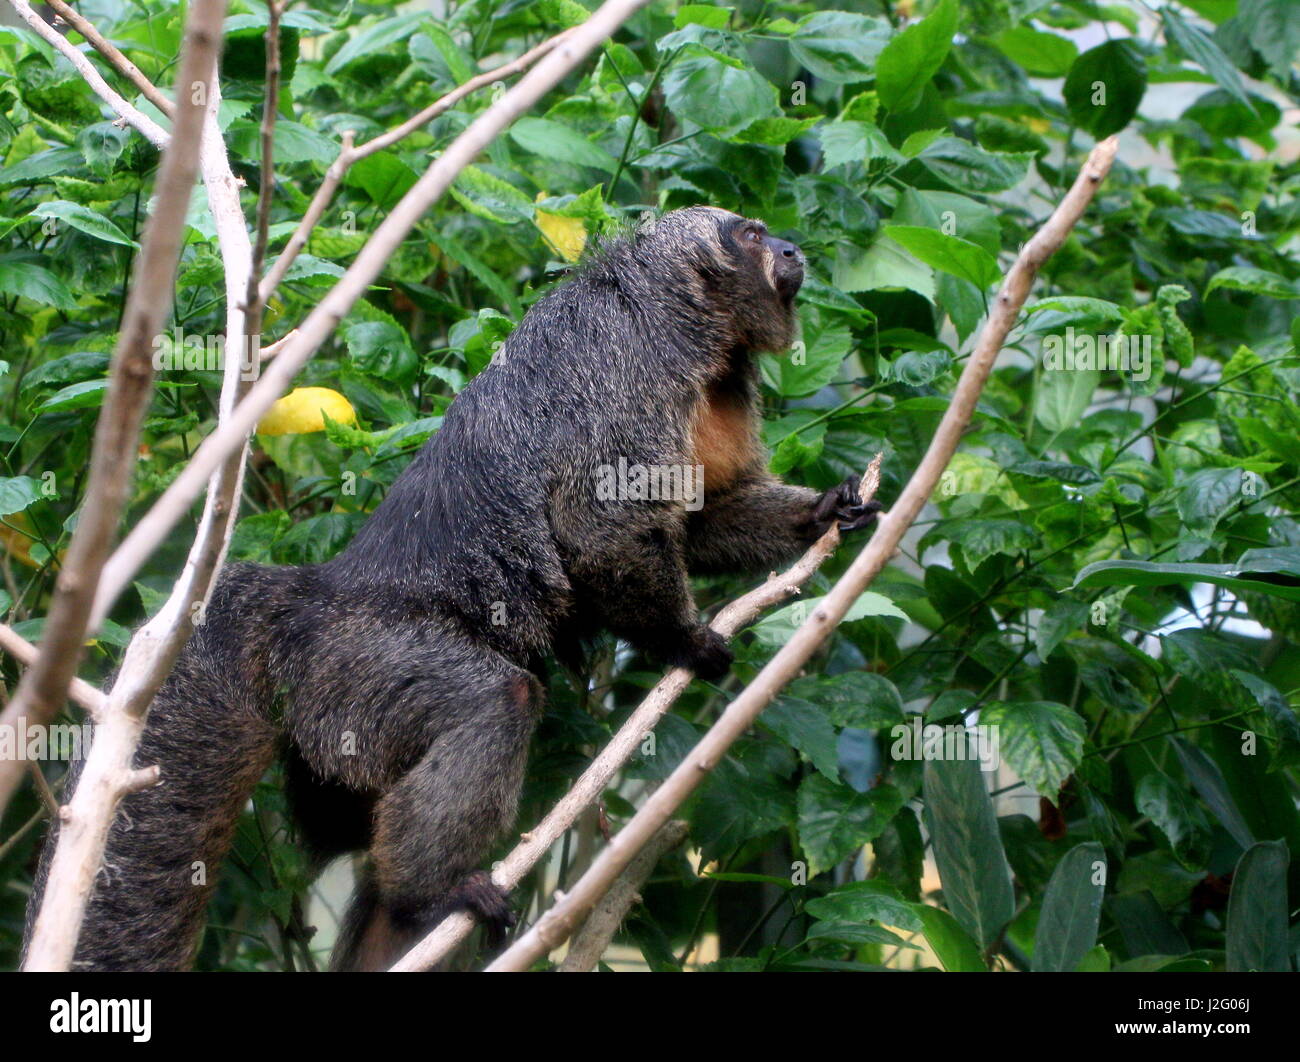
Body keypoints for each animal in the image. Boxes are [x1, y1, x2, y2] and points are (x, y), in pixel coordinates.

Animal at [23, 206, 879, 972]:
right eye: (751, 235)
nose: (791, 247)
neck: (700, 331)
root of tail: (306, 603)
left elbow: (699, 520)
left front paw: (821, 515)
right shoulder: (636, 357)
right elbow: (599, 524)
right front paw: (685, 640)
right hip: (347, 676)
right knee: (494, 701)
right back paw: (431, 895)